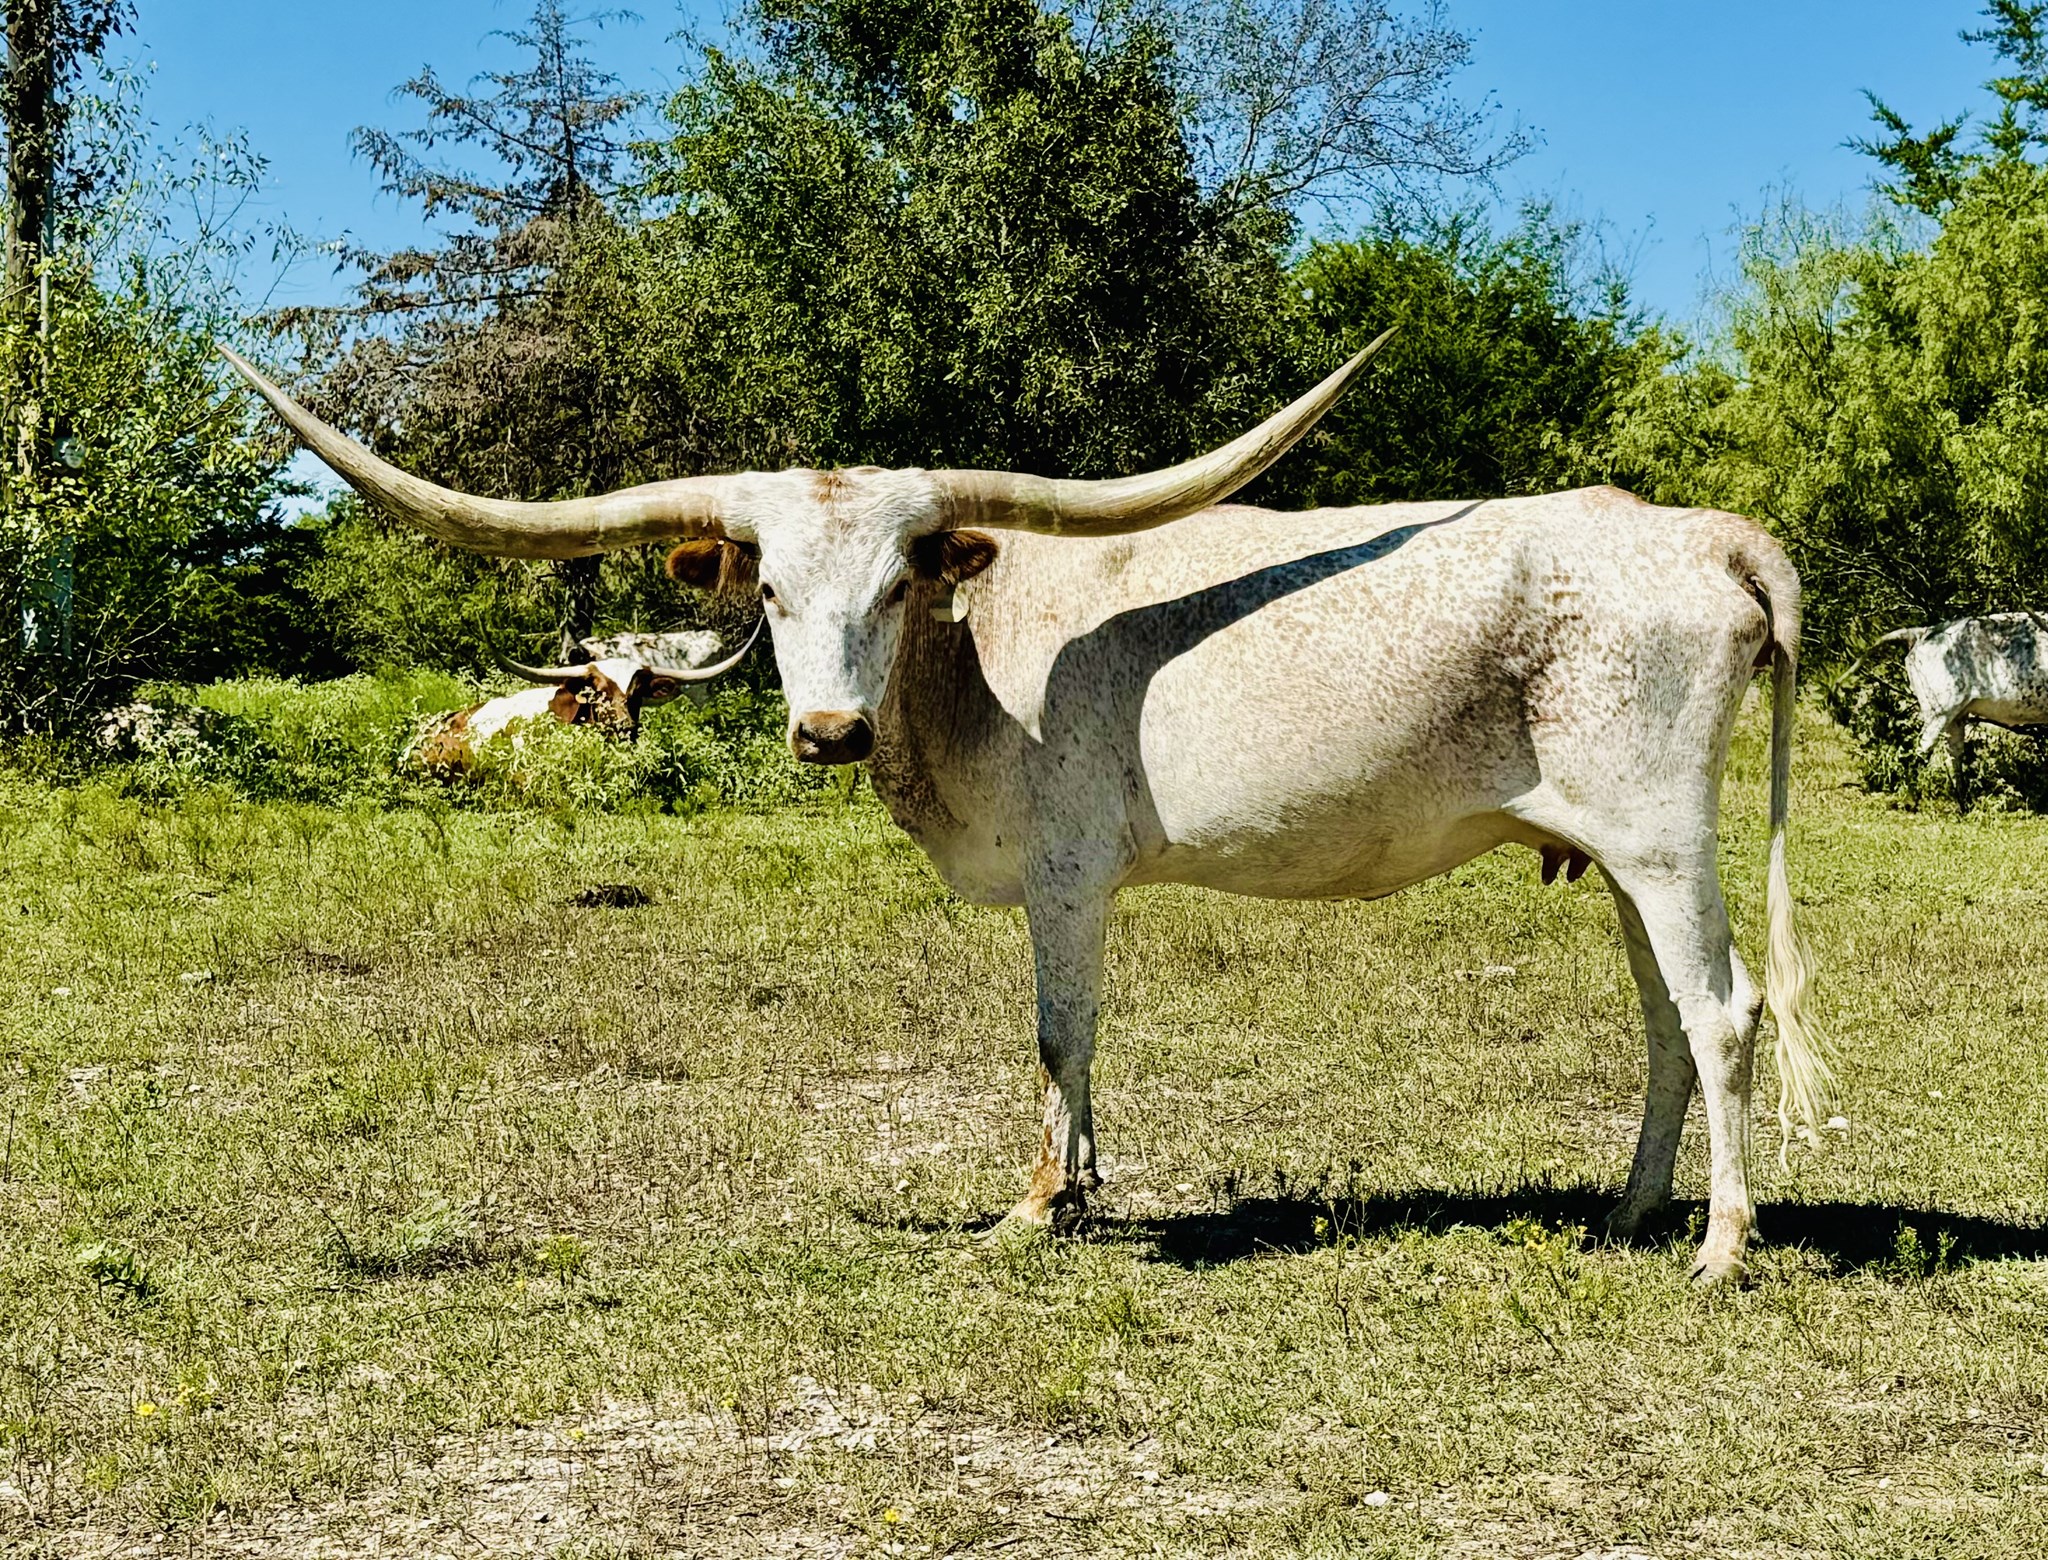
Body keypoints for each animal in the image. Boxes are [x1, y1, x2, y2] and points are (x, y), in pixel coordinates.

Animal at [1846, 613, 2048, 809]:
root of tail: (1923, 632)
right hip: (1939, 712)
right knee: (1921, 750)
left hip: (1956, 716)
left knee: (1953, 756)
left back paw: (1963, 806)